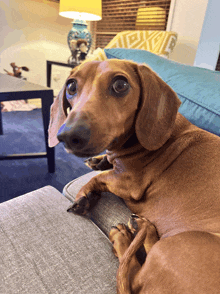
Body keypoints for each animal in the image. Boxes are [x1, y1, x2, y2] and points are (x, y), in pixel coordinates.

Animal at [49, 58, 220, 292]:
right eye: (71, 86)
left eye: (120, 85)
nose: (67, 135)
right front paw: (99, 160)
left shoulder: (130, 184)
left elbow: (99, 178)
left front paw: (84, 195)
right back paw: (144, 228)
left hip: (181, 243)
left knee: (132, 275)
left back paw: (123, 238)